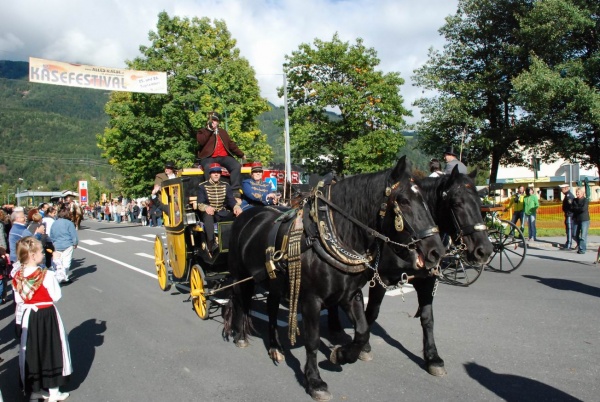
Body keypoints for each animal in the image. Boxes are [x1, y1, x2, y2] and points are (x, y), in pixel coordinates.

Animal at [223, 156, 442, 398]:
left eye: (425, 200)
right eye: (403, 201)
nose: (436, 251)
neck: (332, 236)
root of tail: (246, 215)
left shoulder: (350, 295)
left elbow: (363, 331)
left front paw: (342, 355)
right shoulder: (310, 300)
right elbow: (312, 340)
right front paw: (314, 381)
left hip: (276, 282)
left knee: (270, 307)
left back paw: (275, 347)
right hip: (240, 275)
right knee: (240, 300)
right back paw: (240, 336)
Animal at [328, 166, 492, 376]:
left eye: (480, 203)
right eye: (456, 203)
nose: (484, 250)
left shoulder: (427, 281)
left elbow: (427, 318)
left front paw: (433, 357)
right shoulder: (379, 280)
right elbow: (371, 313)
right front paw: (364, 348)